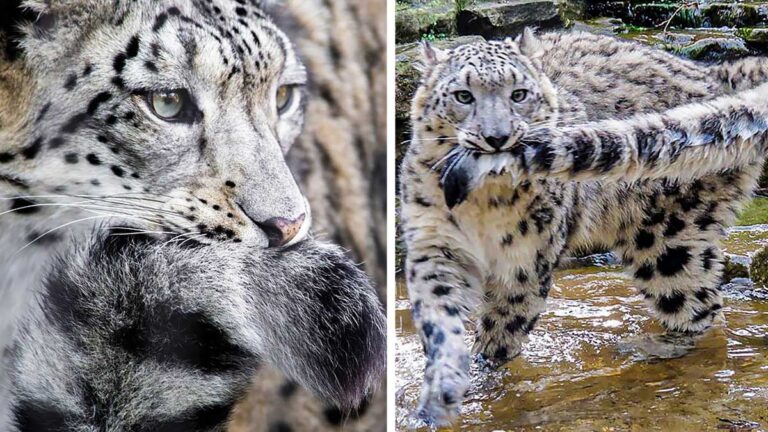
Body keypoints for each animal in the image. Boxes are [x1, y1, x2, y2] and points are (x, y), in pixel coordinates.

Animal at [399, 28, 768, 425]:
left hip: (669, 242)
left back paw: (654, 349)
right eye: (463, 96)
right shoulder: (436, 245)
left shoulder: (525, 262)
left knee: (699, 307)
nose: (497, 137)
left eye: (519, 93)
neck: (482, 204)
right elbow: (439, 315)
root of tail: (713, 74)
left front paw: (486, 371)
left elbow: (504, 326)